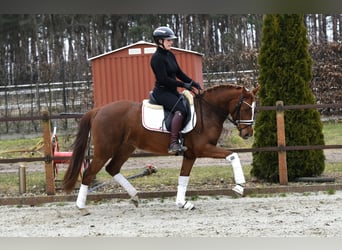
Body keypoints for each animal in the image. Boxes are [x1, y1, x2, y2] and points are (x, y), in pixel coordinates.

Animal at [62, 83, 258, 213]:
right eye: (246, 109)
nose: (248, 134)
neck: (209, 111)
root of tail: (98, 110)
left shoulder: (190, 154)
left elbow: (183, 177)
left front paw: (182, 203)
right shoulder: (203, 148)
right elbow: (233, 156)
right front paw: (239, 186)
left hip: (126, 148)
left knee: (112, 168)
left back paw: (134, 196)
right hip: (105, 150)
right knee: (89, 173)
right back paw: (81, 207)